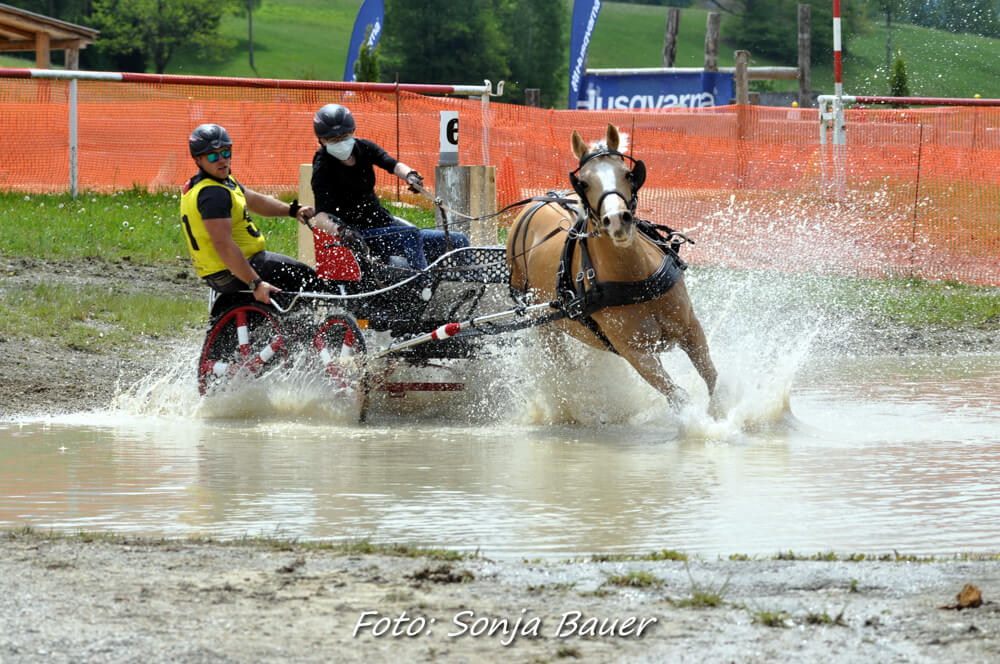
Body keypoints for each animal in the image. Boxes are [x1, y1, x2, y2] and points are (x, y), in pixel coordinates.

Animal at [506, 123, 718, 410]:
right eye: (584, 182)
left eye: (628, 174)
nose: (618, 220)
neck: (637, 279)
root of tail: (542, 200)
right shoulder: (637, 353)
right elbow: (679, 396)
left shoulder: (690, 328)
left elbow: (712, 378)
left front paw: (719, 411)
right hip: (545, 327)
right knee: (564, 366)